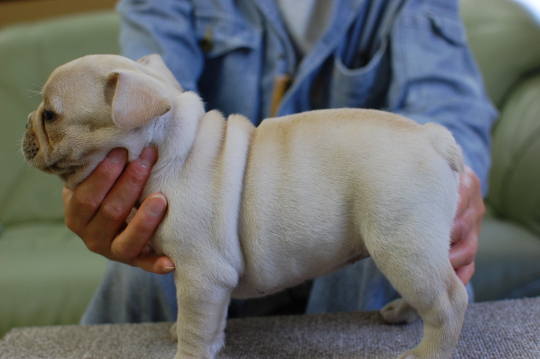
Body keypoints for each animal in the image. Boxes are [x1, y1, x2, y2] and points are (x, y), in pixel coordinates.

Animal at [22, 54, 468, 359]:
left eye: (51, 115)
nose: (25, 124)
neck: (170, 147)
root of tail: (433, 137)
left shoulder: (202, 275)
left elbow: (196, 325)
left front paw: (187, 351)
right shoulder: (213, 283)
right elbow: (210, 321)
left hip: (398, 243)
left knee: (449, 300)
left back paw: (425, 353)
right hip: (415, 245)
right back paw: (402, 312)